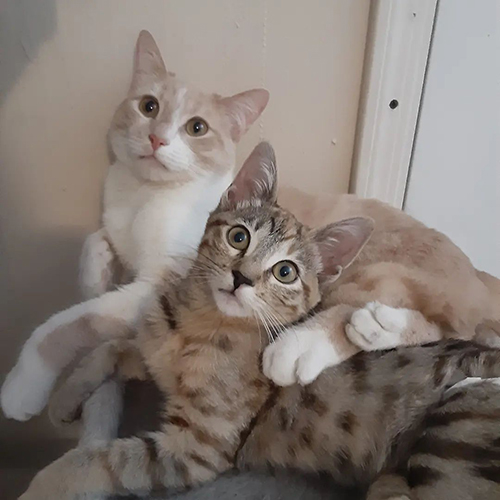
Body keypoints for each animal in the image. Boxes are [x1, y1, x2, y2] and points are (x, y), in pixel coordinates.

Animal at [0, 30, 270, 442]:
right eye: (148, 106)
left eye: (197, 127)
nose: (157, 138)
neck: (144, 195)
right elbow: (94, 242)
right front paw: (94, 272)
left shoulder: (158, 286)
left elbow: (68, 323)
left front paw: (24, 384)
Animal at [21, 144, 500, 500]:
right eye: (239, 237)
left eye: (285, 272)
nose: (242, 278)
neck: (196, 323)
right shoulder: (154, 354)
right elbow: (111, 348)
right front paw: (64, 399)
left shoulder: (195, 448)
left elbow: (98, 460)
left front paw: (43, 483)